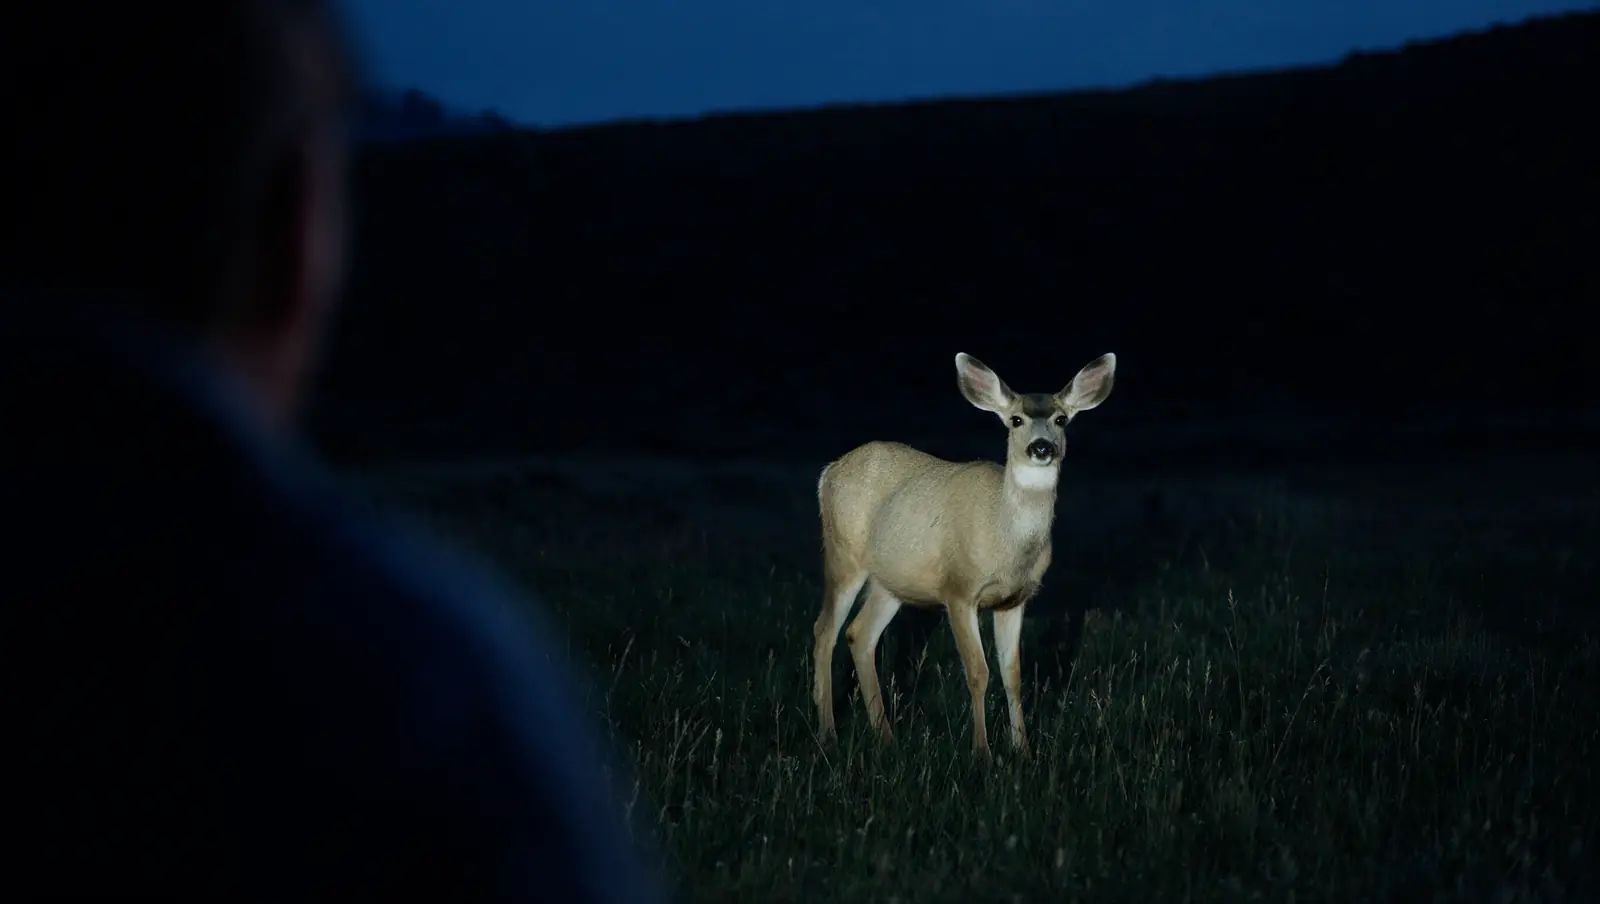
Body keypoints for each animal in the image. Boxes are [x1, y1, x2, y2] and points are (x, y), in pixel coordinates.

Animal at [812, 351, 1116, 758]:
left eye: (1061, 419)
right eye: (1015, 419)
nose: (1041, 447)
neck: (1005, 541)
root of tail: (828, 472)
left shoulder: (1014, 600)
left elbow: (1012, 674)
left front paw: (1022, 749)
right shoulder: (958, 589)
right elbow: (978, 671)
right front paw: (982, 752)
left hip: (892, 581)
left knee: (859, 634)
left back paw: (886, 738)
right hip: (844, 555)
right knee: (825, 630)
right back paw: (828, 733)